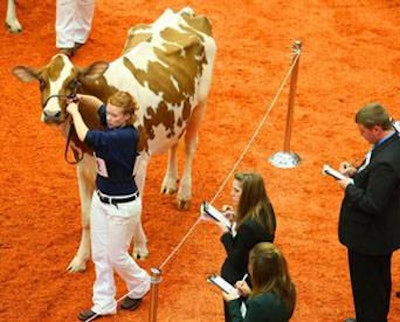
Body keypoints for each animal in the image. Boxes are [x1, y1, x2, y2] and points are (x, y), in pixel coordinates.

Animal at [12, 7, 217, 272]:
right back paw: (170, 182)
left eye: (74, 82)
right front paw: (81, 259)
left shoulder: (139, 162)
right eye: (41, 81)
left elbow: (136, 208)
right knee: (174, 142)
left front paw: (140, 247)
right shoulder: (83, 166)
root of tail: (185, 12)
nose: (51, 113)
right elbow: (86, 217)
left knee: (190, 147)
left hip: (200, 103)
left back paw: (183, 194)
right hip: (178, 112)